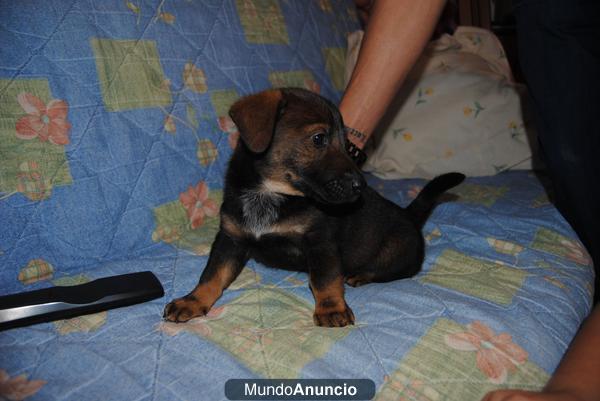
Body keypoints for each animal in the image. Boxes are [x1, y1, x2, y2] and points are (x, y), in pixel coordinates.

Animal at [163, 86, 464, 324]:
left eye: (346, 144)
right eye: (319, 138)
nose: (361, 185)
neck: (269, 194)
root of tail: (409, 215)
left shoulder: (321, 242)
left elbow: (324, 279)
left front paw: (331, 309)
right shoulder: (230, 238)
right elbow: (212, 275)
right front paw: (192, 301)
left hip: (397, 251)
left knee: (392, 271)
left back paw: (361, 275)